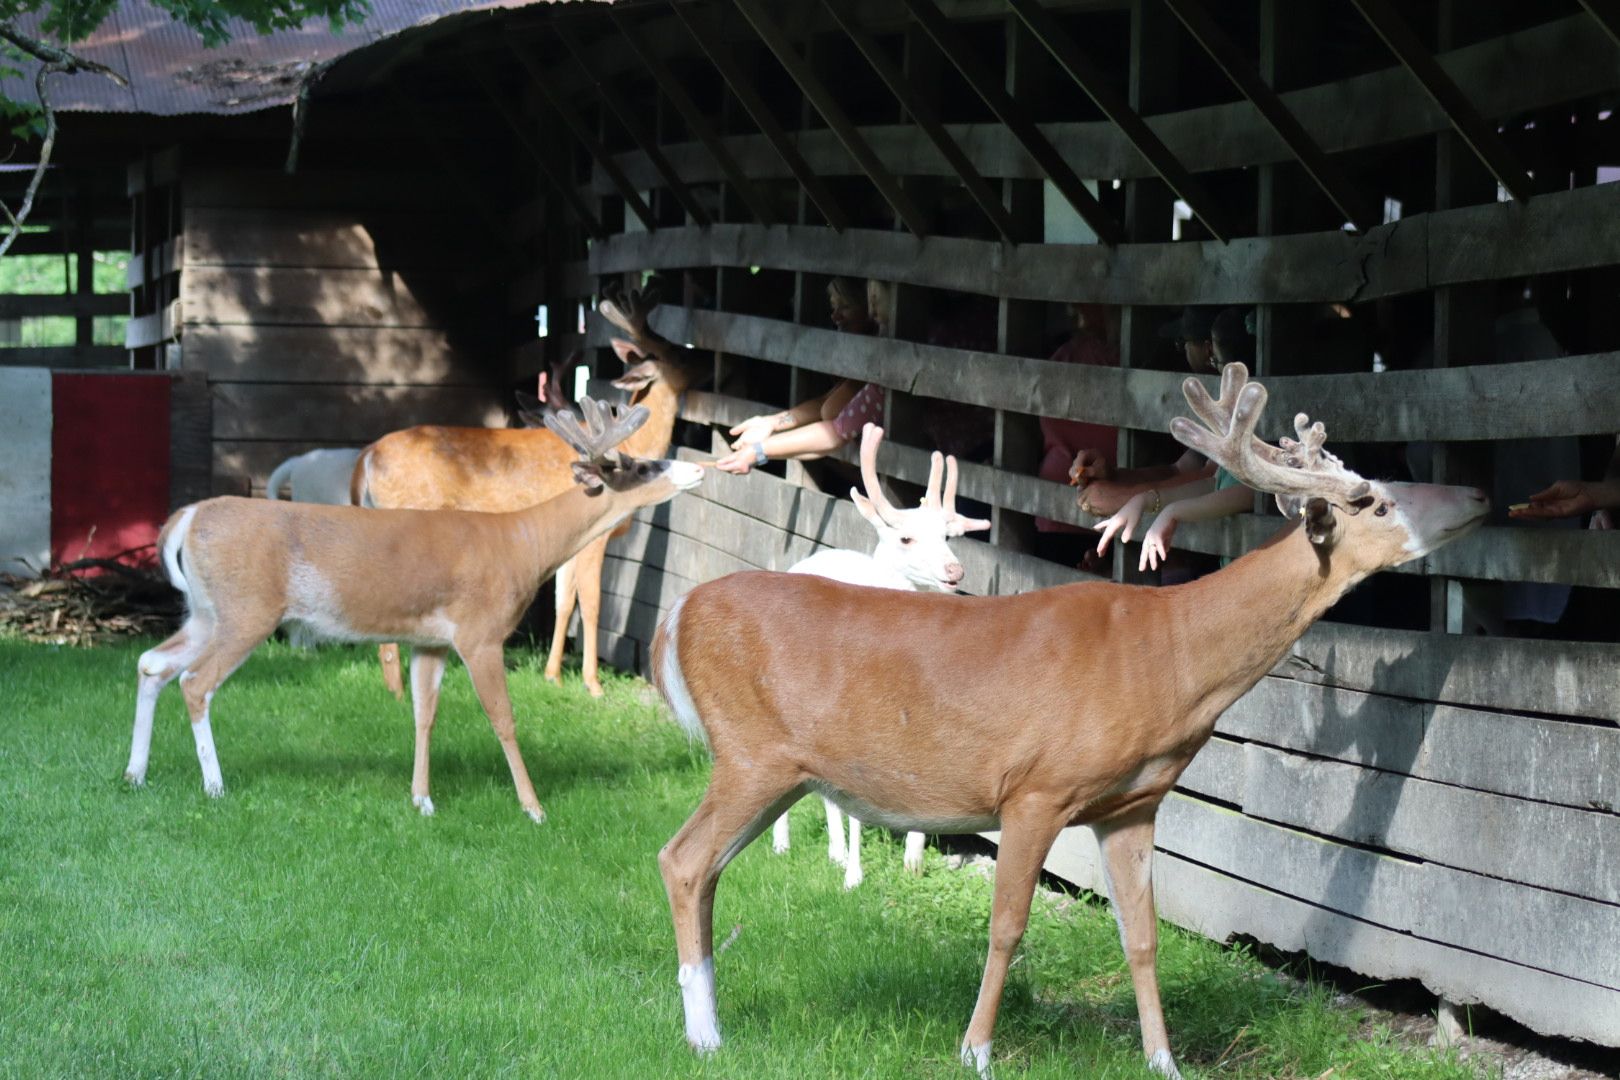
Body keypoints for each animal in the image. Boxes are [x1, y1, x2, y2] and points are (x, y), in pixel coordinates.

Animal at [123, 399, 704, 823]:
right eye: (642, 465)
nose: (697, 468)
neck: (523, 545)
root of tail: (188, 517)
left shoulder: (430, 641)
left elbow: (424, 714)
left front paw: (423, 800)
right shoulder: (479, 632)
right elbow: (503, 718)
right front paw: (533, 807)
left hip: (206, 612)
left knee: (152, 663)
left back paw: (135, 773)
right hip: (246, 609)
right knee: (195, 683)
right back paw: (214, 784)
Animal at [353, 280, 701, 700]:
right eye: (673, 352)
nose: (703, 364)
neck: (634, 446)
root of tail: (366, 456)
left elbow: (564, 601)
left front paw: (553, 675)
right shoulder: (596, 537)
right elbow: (592, 603)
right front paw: (593, 683)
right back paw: (399, 690)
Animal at [770, 422, 990, 889]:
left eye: (947, 536)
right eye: (905, 537)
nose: (954, 571)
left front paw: (914, 860)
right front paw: (855, 876)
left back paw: (834, 851)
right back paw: (786, 845)